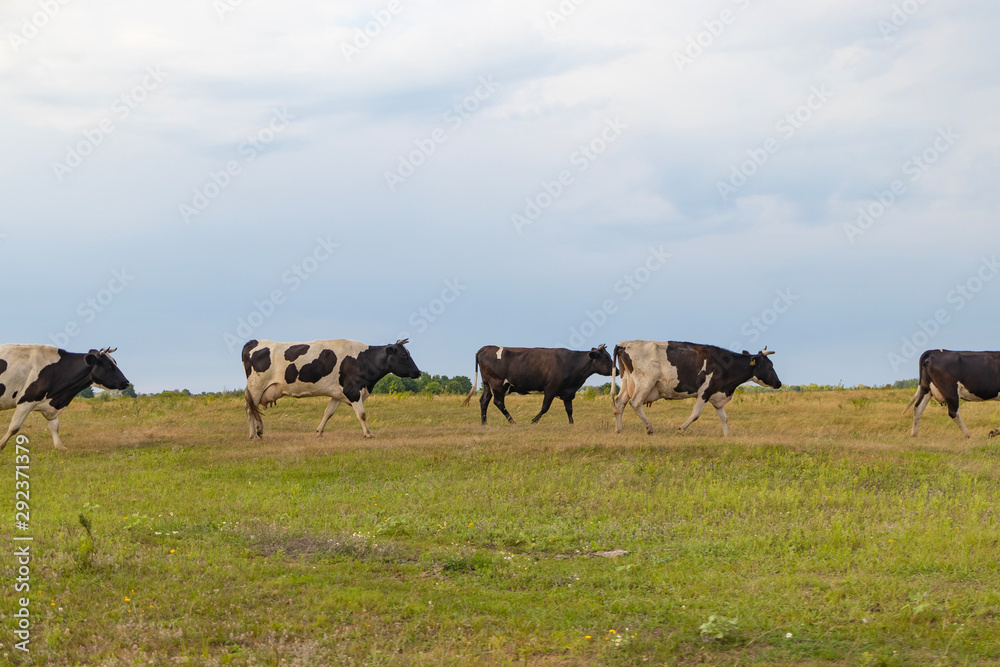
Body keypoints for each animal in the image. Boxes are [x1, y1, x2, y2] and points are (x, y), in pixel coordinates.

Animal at [0, 348, 131, 452]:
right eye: (109, 366)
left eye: (115, 363)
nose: (126, 382)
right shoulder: (26, 401)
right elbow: (15, 427)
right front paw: (1, 445)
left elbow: (54, 426)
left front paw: (60, 447)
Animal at [244, 340, 420, 438]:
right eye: (404, 355)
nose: (418, 372)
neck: (363, 359)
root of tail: (254, 341)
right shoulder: (353, 390)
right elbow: (362, 414)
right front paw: (368, 433)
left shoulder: (338, 394)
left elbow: (328, 413)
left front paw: (319, 432)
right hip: (255, 387)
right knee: (249, 409)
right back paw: (253, 434)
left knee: (252, 409)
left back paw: (257, 431)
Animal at [462, 348, 616, 426]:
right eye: (606, 358)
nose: (618, 370)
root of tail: (487, 348)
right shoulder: (551, 388)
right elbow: (545, 407)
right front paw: (533, 421)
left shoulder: (567, 392)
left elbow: (569, 409)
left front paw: (572, 424)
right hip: (497, 384)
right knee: (498, 402)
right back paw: (512, 421)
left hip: (487, 384)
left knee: (484, 401)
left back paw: (484, 422)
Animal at [608, 340, 780, 438]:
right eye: (770, 366)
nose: (779, 383)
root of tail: (624, 343)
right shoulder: (705, 391)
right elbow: (696, 414)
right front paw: (681, 429)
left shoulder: (717, 394)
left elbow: (723, 417)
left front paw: (728, 435)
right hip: (645, 382)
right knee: (635, 402)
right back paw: (649, 428)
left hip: (627, 382)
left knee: (620, 403)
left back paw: (618, 430)